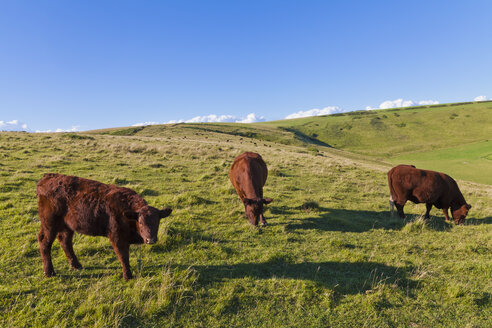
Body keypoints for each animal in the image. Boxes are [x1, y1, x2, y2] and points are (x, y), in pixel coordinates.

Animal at [37, 173, 171, 280]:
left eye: (157, 221)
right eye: (141, 222)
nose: (150, 240)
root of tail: (48, 177)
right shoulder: (117, 237)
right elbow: (124, 257)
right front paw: (127, 276)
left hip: (67, 226)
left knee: (65, 241)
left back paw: (76, 265)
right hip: (49, 224)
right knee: (44, 242)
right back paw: (49, 272)